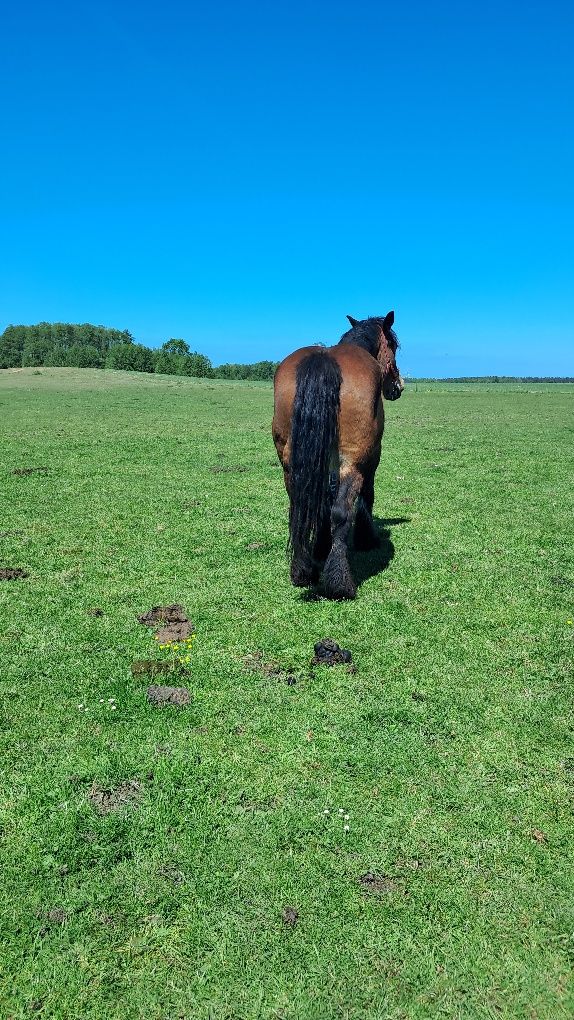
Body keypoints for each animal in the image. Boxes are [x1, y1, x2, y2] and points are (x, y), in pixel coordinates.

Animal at [273, 310, 403, 595]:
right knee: (342, 511)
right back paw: (339, 582)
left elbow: (323, 500)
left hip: (291, 463)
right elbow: (366, 496)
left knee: (299, 506)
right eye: (394, 346)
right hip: (354, 461)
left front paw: (322, 546)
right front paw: (366, 538)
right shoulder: (370, 456)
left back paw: (303, 570)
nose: (397, 387)